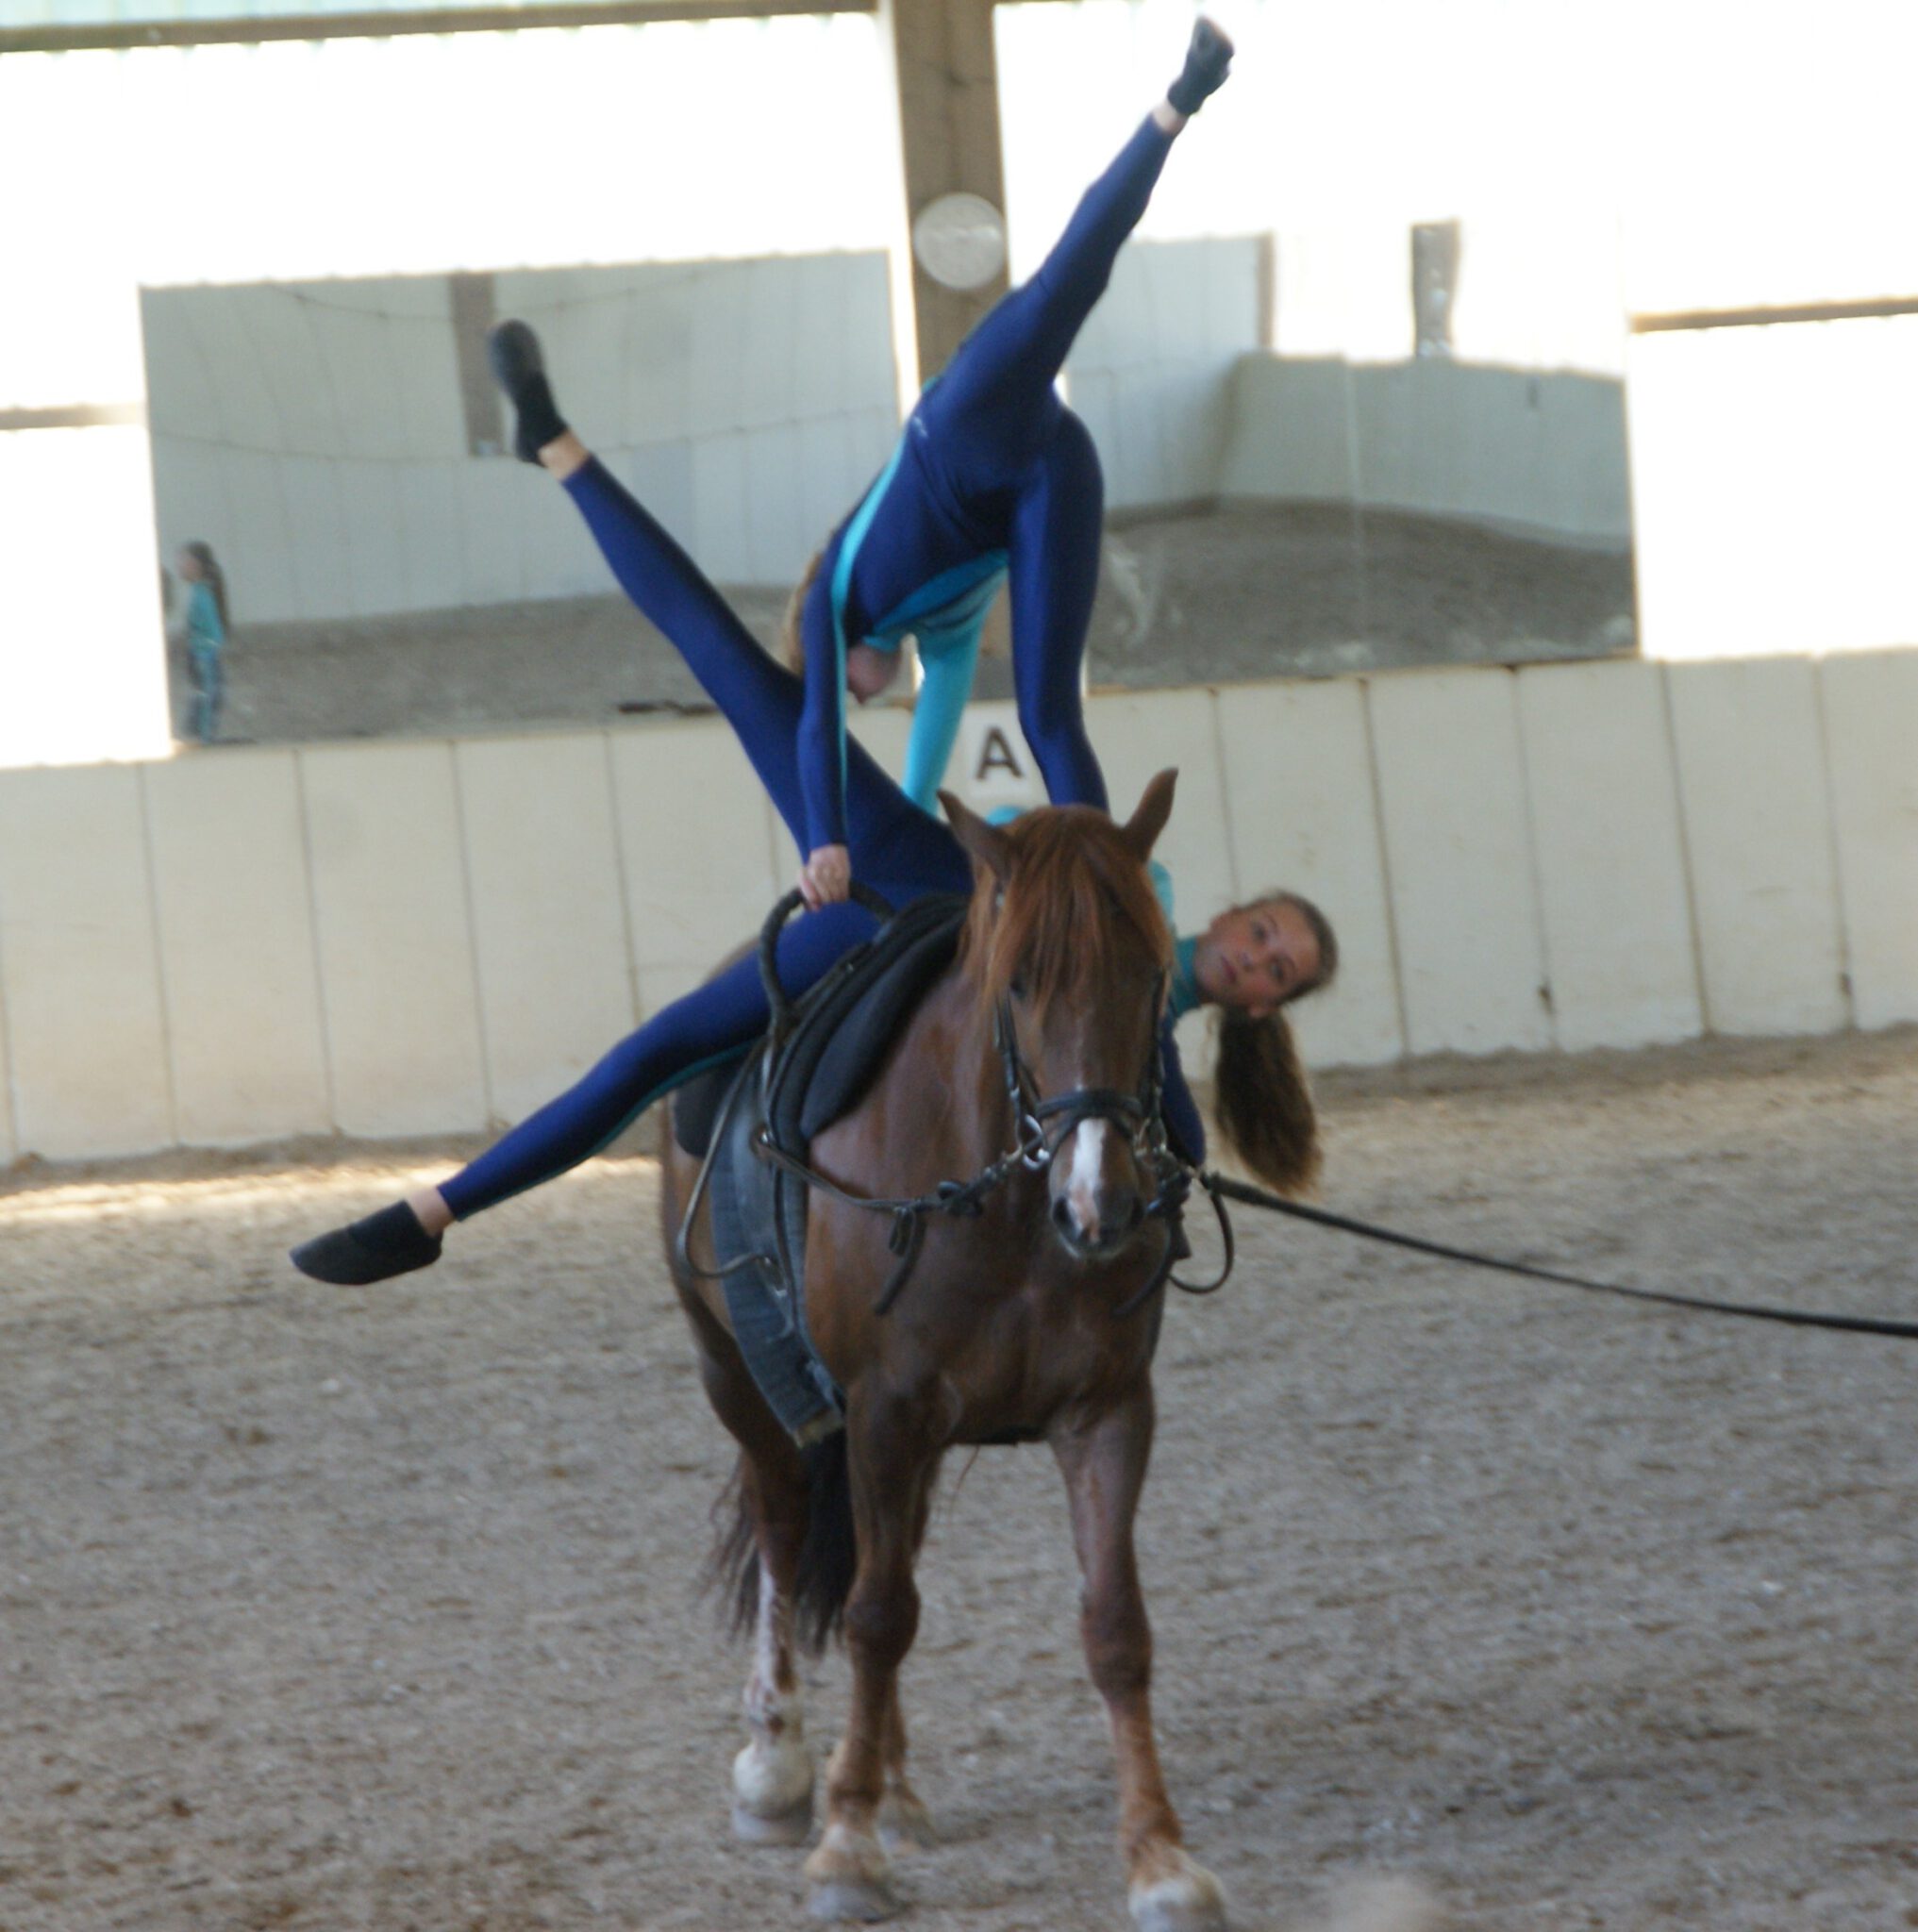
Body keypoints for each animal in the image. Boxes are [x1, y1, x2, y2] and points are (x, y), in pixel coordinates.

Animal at [657, 773, 1228, 1932]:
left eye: (1150, 976)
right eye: (1019, 984)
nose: (1100, 1206)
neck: (1004, 1205)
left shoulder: (1106, 1408)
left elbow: (1114, 1626)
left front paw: (1158, 1858)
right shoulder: (884, 1407)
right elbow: (875, 1617)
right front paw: (842, 1850)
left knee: (892, 1557)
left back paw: (889, 1782)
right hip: (737, 1378)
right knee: (787, 1534)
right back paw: (779, 1767)